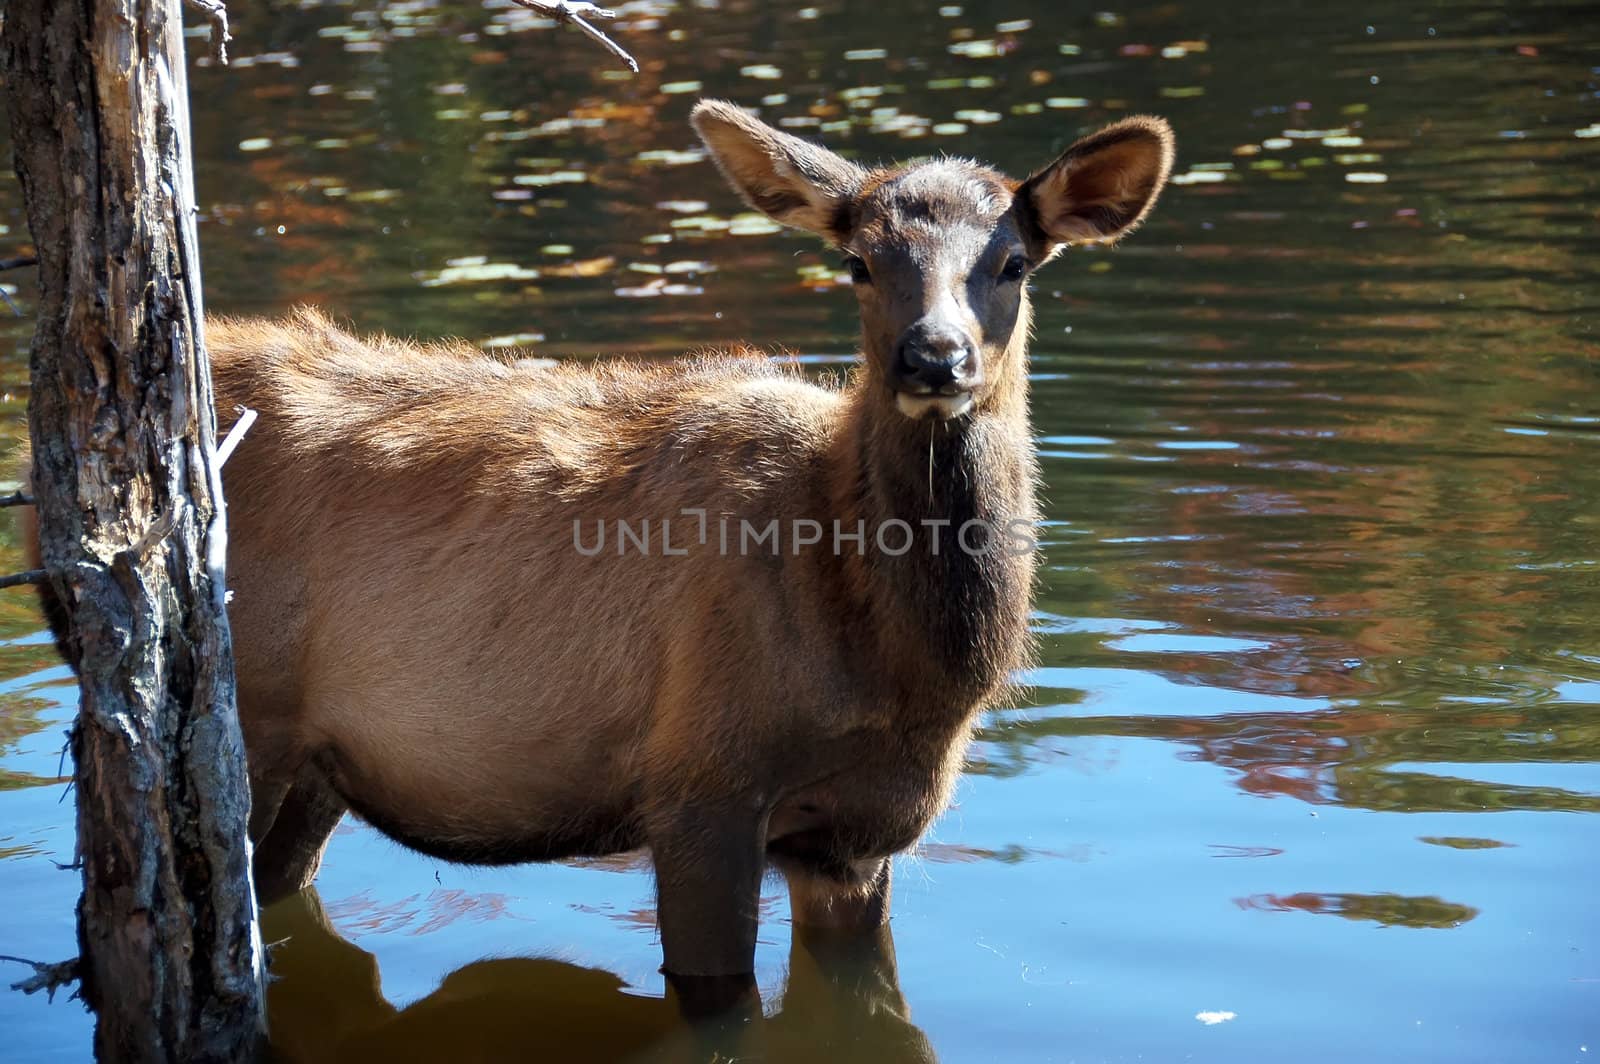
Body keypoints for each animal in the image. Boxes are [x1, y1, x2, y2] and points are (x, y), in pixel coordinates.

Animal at [28, 97, 1177, 998]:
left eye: (1015, 261)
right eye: (857, 260)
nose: (933, 357)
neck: (906, 672)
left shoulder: (854, 837)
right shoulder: (701, 782)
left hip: (315, 766)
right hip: (240, 715)